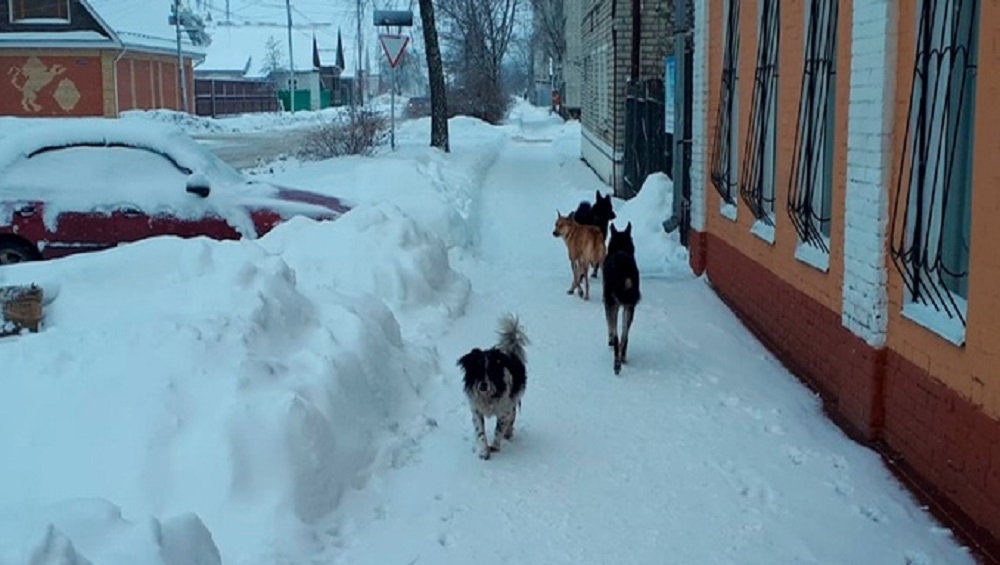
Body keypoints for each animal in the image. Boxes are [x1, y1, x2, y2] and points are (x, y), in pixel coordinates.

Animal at [456, 312, 528, 458]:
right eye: (477, 371)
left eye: (491, 371)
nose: (483, 386)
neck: (488, 395)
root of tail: (509, 349)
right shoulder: (476, 410)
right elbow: (480, 432)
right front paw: (484, 451)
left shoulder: (504, 409)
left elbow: (499, 428)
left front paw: (495, 446)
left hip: (514, 397)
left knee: (512, 415)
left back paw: (508, 432)